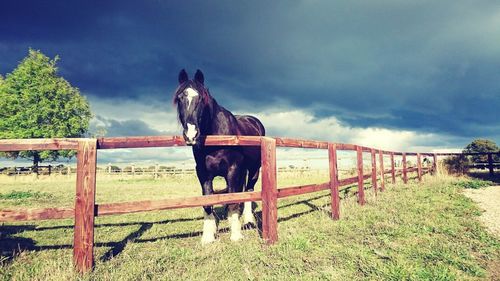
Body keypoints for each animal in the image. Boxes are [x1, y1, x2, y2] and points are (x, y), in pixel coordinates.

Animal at [172, 68, 266, 243]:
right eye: (180, 98)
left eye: (201, 99)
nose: (191, 134)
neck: (217, 137)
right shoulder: (203, 173)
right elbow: (208, 202)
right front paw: (208, 235)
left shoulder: (233, 169)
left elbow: (232, 201)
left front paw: (235, 234)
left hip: (254, 169)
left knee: (249, 190)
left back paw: (248, 221)